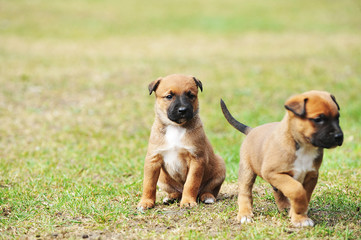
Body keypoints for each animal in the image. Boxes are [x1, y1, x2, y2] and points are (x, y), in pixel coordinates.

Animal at [138, 74, 225, 211]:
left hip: (220, 166)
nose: (182, 110)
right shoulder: (153, 159)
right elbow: (148, 184)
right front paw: (146, 202)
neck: (175, 127)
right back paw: (171, 197)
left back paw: (207, 197)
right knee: (176, 192)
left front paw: (188, 201)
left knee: (209, 189)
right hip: (162, 178)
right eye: (169, 96)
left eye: (190, 95)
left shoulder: (196, 159)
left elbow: (191, 183)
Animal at [219, 90, 344, 227]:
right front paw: (299, 212)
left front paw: (299, 216)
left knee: (276, 190)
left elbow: (305, 195)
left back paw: (284, 207)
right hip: (247, 171)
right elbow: (297, 190)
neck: (303, 146)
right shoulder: (273, 173)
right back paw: (244, 214)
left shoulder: (311, 176)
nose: (339, 136)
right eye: (318, 119)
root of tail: (251, 130)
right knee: (245, 192)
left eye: (337, 117)